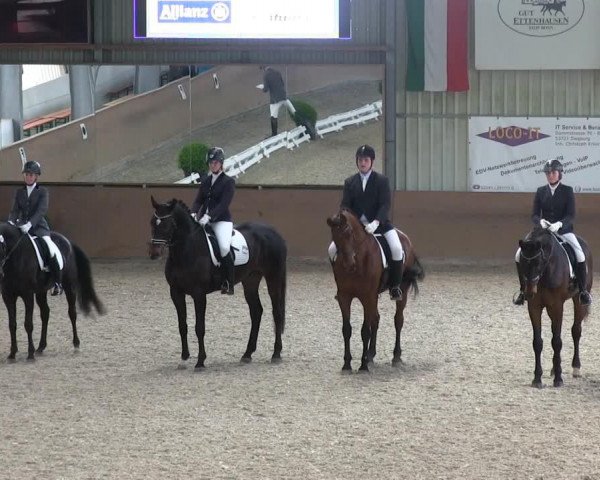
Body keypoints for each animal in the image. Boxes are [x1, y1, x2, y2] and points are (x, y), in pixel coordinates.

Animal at [0, 221, 105, 360]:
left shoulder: (27, 294)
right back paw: (41, 347)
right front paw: (12, 354)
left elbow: (28, 324)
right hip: (41, 291)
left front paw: (30, 354)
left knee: (72, 313)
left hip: (69, 286)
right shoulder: (7, 296)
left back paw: (76, 344)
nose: (0, 273)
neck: (16, 256)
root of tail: (68, 241)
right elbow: (12, 324)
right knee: (45, 313)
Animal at [146, 197, 284, 370]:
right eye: (152, 222)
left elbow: (199, 327)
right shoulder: (176, 292)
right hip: (251, 280)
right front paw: (184, 358)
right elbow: (182, 326)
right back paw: (247, 354)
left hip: (273, 277)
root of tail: (273, 231)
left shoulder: (199, 294)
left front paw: (200, 361)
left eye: (167, 224)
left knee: (276, 312)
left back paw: (276, 354)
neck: (186, 251)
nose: (154, 254)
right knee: (256, 312)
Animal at [324, 209, 426, 372]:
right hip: (374, 296)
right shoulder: (344, 297)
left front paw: (363, 365)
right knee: (376, 319)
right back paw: (371, 355)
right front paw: (347, 364)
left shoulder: (367, 297)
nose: (348, 264)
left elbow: (365, 330)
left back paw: (396, 357)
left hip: (401, 290)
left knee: (398, 320)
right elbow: (347, 329)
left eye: (349, 232)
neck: (358, 262)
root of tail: (406, 238)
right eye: (334, 235)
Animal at [516, 227, 592, 388]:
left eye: (539, 263)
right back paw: (553, 369)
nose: (529, 293)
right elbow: (538, 342)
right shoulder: (534, 307)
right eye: (522, 263)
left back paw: (576, 368)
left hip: (578, 299)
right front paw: (537, 379)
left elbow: (557, 342)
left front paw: (558, 379)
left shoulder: (557, 306)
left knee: (576, 331)